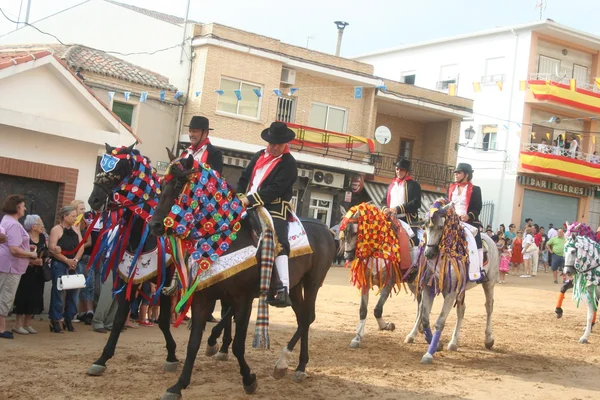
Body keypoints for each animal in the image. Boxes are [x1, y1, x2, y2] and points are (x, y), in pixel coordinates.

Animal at [84, 143, 179, 376]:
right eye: (101, 164)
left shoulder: (164, 283)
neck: (145, 236)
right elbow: (119, 319)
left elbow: (164, 321)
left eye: (119, 169)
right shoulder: (130, 279)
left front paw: (172, 356)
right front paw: (102, 359)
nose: (94, 200)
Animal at [338, 203, 418, 346]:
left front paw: (385, 325)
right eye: (344, 233)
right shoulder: (365, 283)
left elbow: (377, 309)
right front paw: (357, 337)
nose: (347, 256)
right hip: (413, 283)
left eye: (355, 232)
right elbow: (363, 310)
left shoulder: (388, 284)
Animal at [410, 200, 500, 366]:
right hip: (461, 290)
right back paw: (453, 342)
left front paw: (429, 353)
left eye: (441, 227)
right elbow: (424, 318)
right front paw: (436, 344)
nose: (428, 253)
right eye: (425, 227)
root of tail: (491, 239)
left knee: (489, 307)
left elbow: (439, 321)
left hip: (489, 283)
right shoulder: (428, 288)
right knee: (461, 309)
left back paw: (488, 339)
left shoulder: (450, 292)